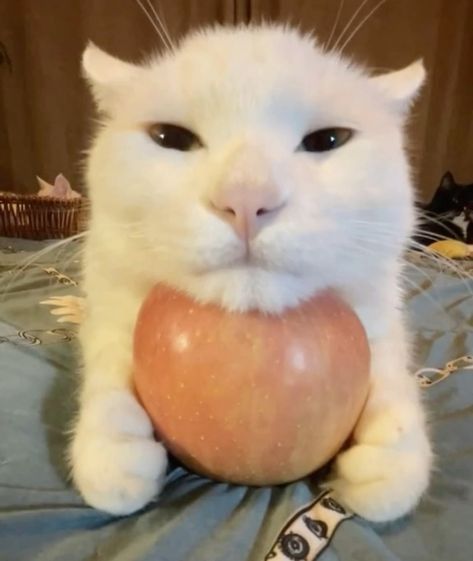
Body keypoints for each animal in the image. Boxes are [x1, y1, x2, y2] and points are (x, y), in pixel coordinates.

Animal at [70, 23, 432, 520]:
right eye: (170, 137)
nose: (245, 197)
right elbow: (107, 360)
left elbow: (393, 371)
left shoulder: (380, 314)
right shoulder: (108, 304)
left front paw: (390, 456)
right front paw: (113, 448)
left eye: (328, 140)